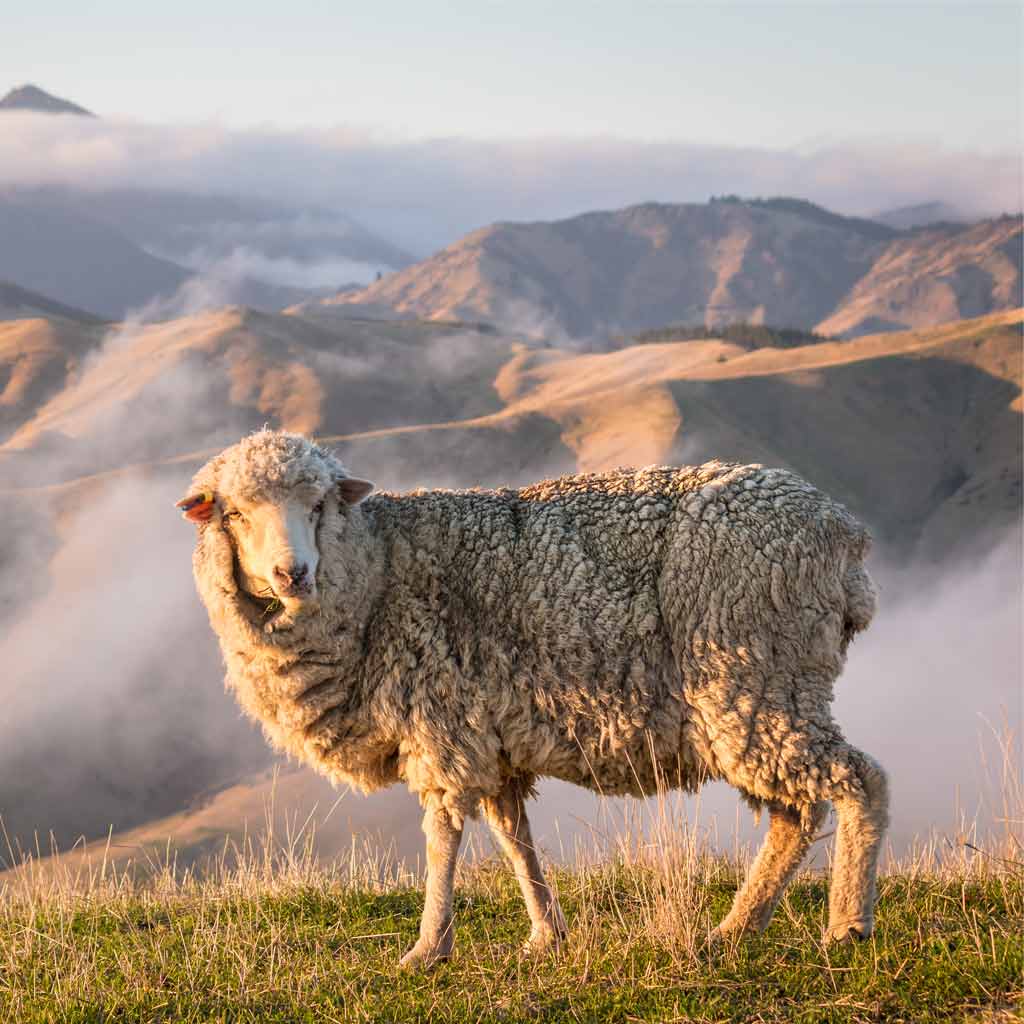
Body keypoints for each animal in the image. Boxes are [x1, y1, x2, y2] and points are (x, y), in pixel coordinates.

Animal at [180, 425, 892, 966]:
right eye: (234, 514)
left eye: (320, 506)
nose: (292, 574)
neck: (376, 572)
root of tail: (846, 539)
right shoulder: (489, 735)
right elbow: (512, 837)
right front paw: (546, 933)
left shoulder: (440, 723)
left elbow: (443, 836)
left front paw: (428, 948)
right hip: (765, 694)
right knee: (796, 815)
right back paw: (736, 928)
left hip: (753, 679)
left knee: (859, 780)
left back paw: (846, 923)